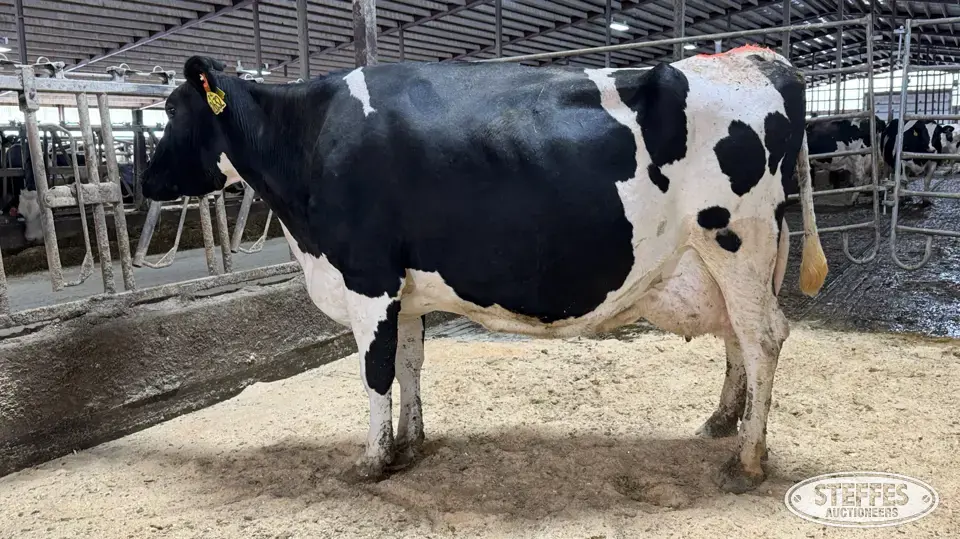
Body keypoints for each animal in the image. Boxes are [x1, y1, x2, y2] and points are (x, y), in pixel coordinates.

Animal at [142, 48, 828, 494]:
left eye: (173, 112)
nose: (140, 180)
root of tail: (761, 60)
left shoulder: (368, 280)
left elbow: (374, 375)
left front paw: (372, 461)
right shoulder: (405, 292)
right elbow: (411, 365)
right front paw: (411, 444)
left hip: (735, 240)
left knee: (764, 337)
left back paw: (747, 460)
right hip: (730, 259)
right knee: (740, 337)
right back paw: (723, 423)